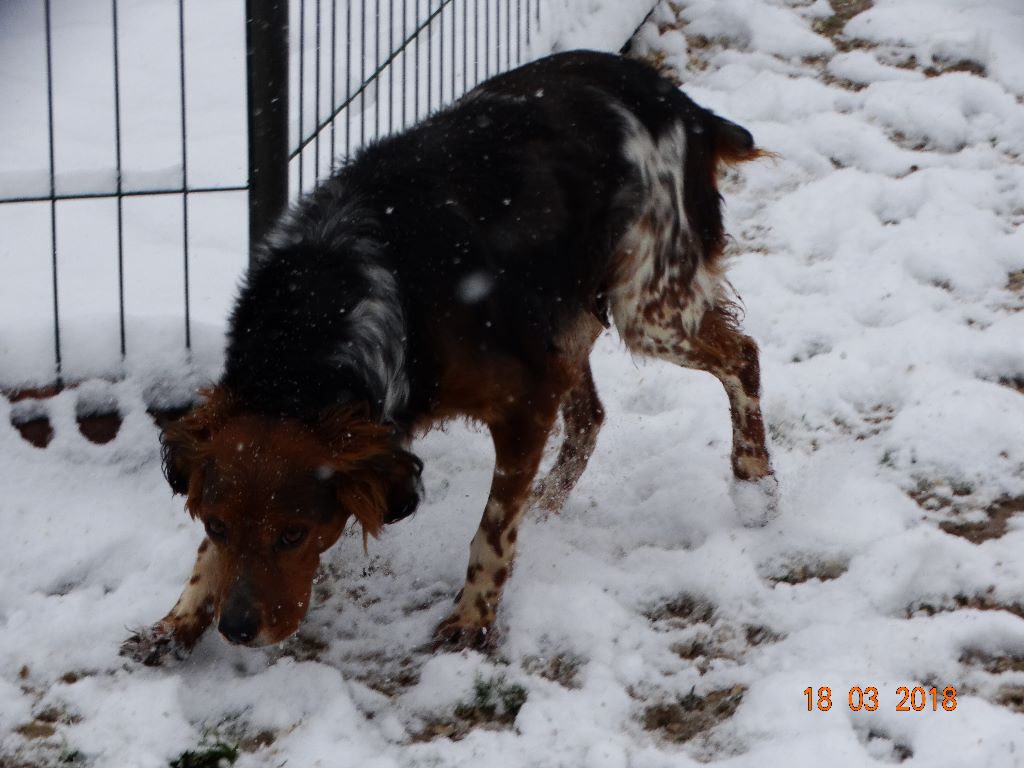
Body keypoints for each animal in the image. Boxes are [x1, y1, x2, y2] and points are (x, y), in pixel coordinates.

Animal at [121, 50, 776, 665]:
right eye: (216, 523)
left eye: (293, 534)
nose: (236, 629)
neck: (316, 317)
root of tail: (686, 106)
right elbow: (205, 554)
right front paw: (176, 623)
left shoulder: (524, 399)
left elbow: (492, 527)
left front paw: (471, 619)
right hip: (567, 316)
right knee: (591, 415)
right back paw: (549, 505)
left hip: (648, 306)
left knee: (741, 355)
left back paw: (752, 481)